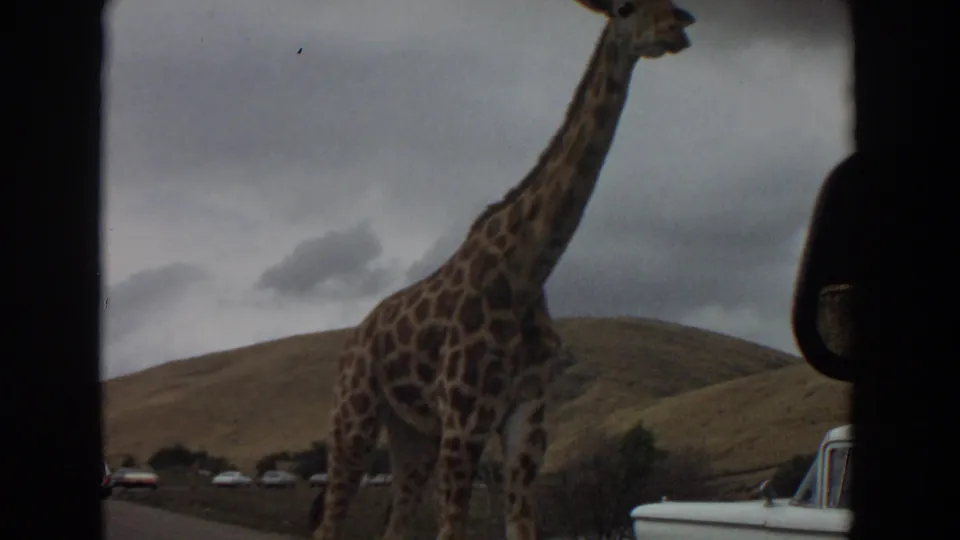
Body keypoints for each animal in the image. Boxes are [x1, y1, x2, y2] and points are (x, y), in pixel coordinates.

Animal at [312, 2, 694, 539]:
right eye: (625, 8)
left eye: (670, 4)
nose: (678, 28)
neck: (527, 272)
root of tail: (353, 338)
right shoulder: (464, 418)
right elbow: (453, 527)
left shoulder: (528, 417)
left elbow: (521, 523)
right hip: (355, 414)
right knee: (329, 519)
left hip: (413, 433)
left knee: (396, 522)